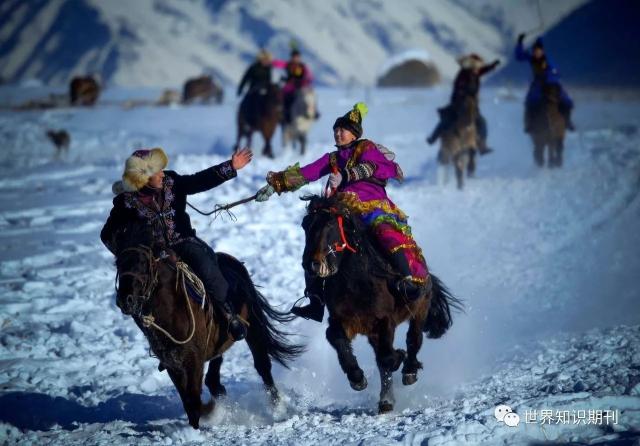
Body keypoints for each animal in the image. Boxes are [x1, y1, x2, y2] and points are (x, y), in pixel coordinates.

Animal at [300, 195, 460, 414]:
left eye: (330, 224)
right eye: (305, 225)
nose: (311, 264)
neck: (356, 282)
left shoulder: (384, 321)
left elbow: (387, 358)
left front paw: (399, 357)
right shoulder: (344, 321)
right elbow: (337, 339)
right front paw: (357, 378)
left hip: (420, 308)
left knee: (414, 338)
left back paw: (408, 371)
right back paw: (386, 399)